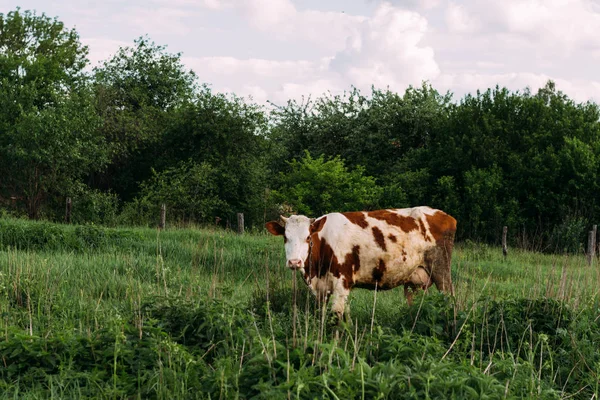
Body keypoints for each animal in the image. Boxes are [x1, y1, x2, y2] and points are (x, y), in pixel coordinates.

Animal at [264, 208, 458, 320]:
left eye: (307, 237)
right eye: (285, 237)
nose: (294, 262)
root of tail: (444, 215)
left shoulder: (342, 283)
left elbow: (337, 317)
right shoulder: (321, 290)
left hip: (441, 270)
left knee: (450, 300)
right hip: (413, 280)